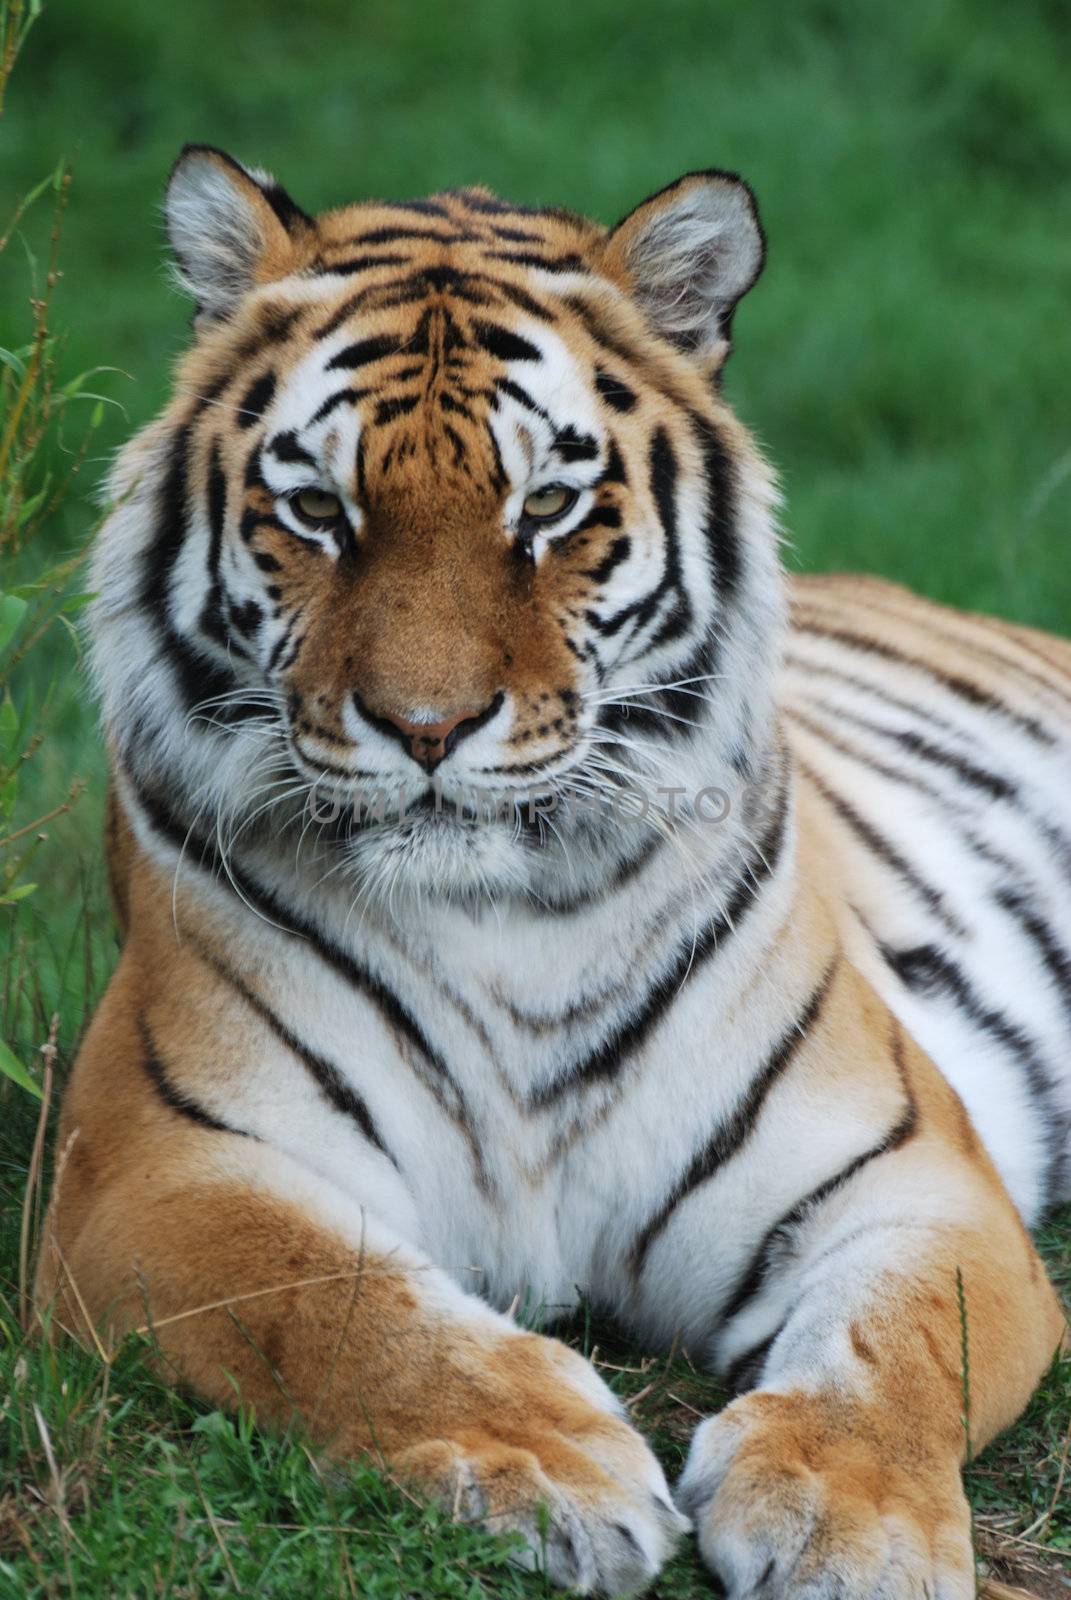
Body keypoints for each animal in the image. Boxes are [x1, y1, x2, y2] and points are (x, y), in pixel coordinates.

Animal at [35, 144, 1069, 1593]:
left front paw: (846, 1520)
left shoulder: (910, 1177)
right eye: (318, 510)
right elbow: (332, 1304)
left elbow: (902, 1346)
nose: (423, 728)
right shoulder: (153, 1177)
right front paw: (547, 1461)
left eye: (548, 508)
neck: (502, 915)